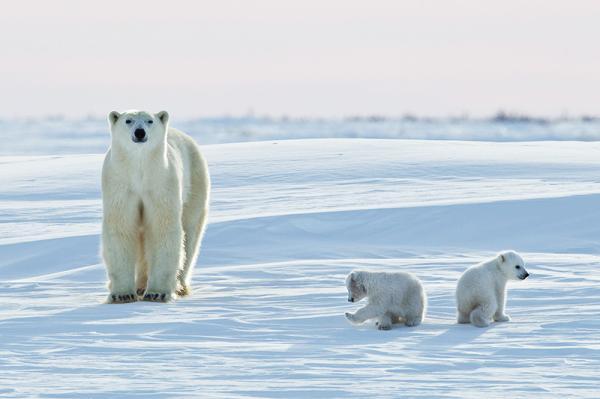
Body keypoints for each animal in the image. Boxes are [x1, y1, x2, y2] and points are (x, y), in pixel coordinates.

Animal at [101, 109, 209, 304]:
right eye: (128, 120)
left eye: (149, 121)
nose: (140, 132)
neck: (140, 169)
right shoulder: (120, 184)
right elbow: (121, 228)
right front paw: (122, 294)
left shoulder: (162, 182)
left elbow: (162, 228)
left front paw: (157, 293)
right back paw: (138, 285)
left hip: (195, 182)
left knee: (190, 234)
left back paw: (179, 286)